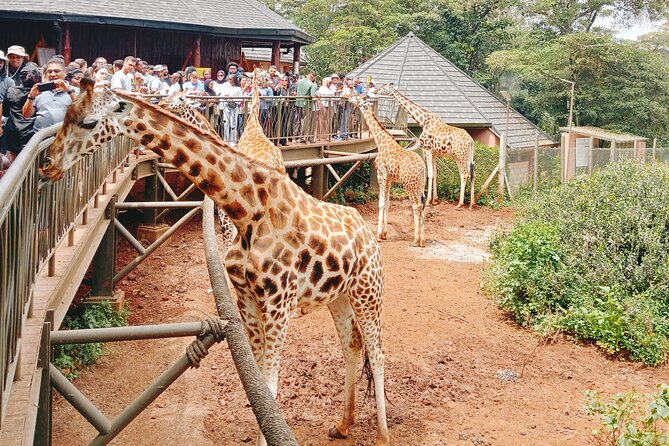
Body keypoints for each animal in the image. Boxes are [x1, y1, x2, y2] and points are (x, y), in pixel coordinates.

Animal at [40, 78, 390, 446]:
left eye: (89, 122)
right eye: (67, 113)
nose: (46, 164)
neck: (247, 211)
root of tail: (368, 236)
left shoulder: (278, 304)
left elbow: (269, 388)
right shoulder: (247, 300)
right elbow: (258, 388)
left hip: (369, 291)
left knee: (377, 352)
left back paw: (382, 434)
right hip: (339, 296)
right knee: (352, 345)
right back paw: (343, 424)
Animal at [348, 94, 427, 247]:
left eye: (358, 98)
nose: (349, 97)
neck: (381, 142)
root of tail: (422, 167)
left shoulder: (381, 175)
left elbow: (381, 203)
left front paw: (378, 235)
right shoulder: (389, 178)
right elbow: (388, 204)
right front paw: (384, 234)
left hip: (409, 184)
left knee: (416, 205)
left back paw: (415, 240)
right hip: (420, 184)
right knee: (423, 205)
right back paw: (423, 241)